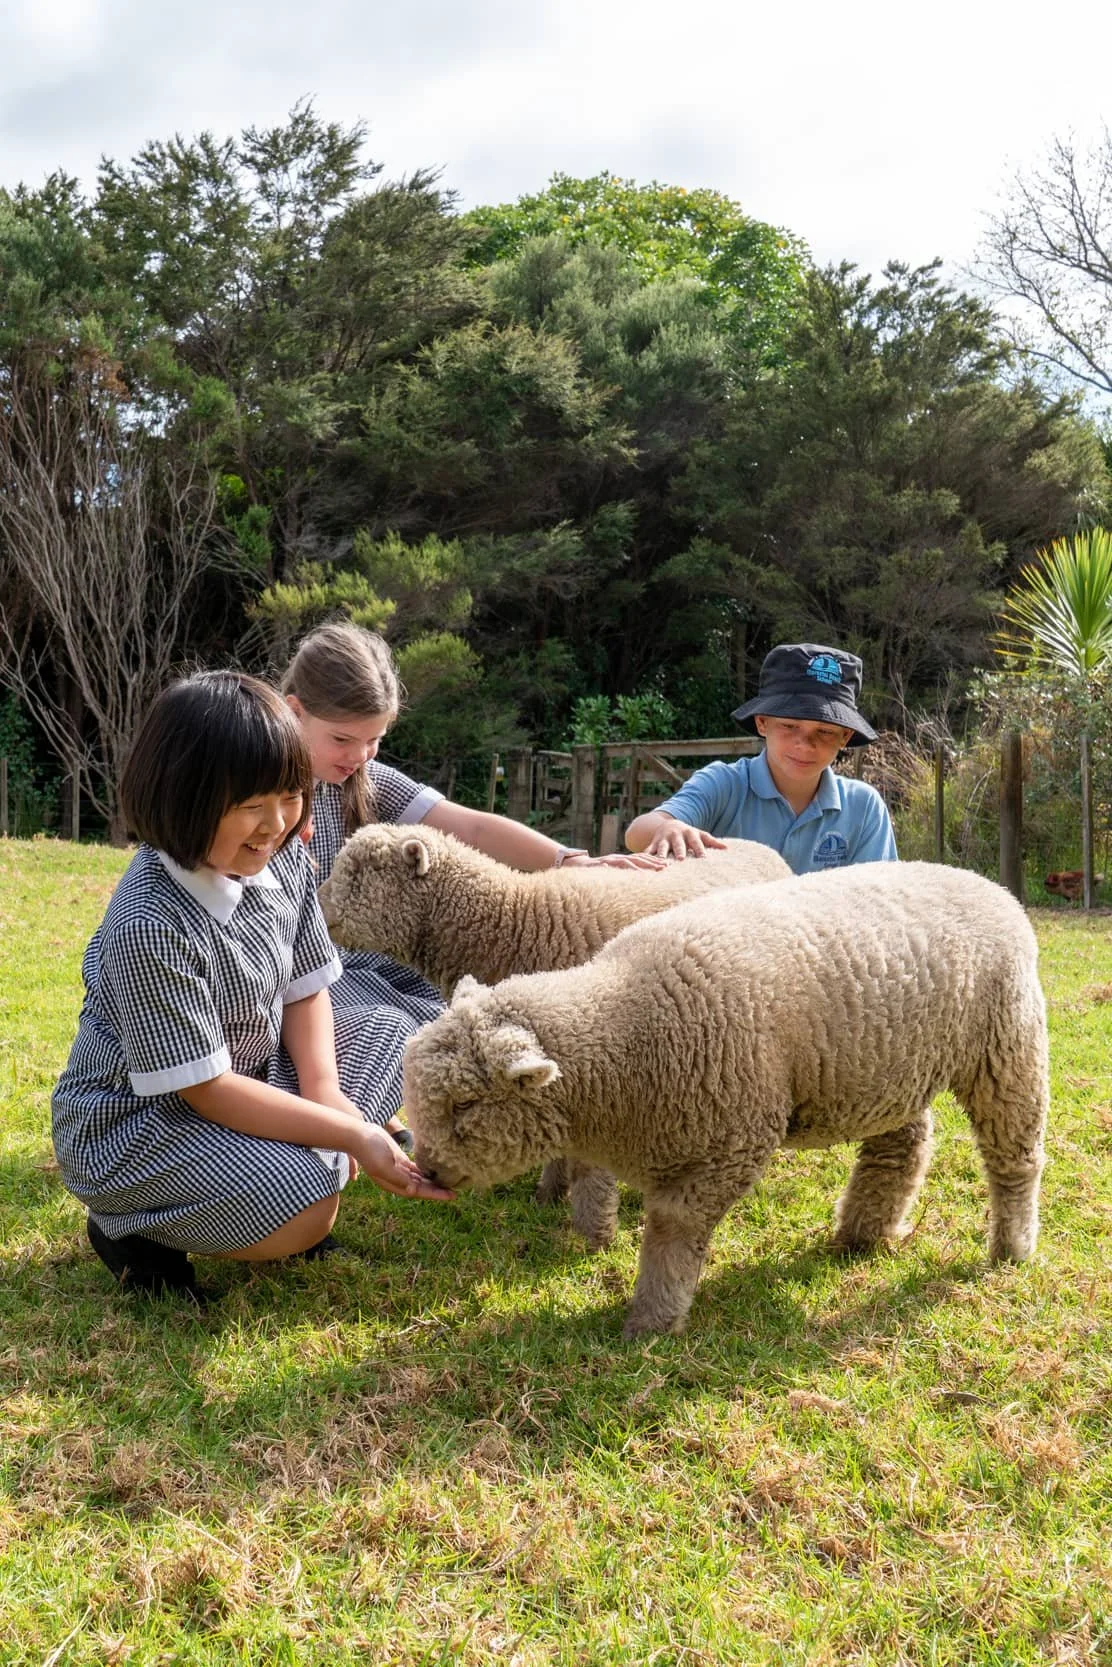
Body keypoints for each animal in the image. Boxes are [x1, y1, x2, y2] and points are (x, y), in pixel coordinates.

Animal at [402, 862, 1049, 1338]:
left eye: (464, 1105)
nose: (426, 1170)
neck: (627, 1028)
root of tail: (984, 882)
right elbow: (594, 1184)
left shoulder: (730, 1143)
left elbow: (671, 1230)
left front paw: (651, 1322)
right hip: (885, 1069)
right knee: (902, 1147)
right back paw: (864, 1233)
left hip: (1007, 1045)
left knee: (1014, 1156)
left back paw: (1012, 1247)